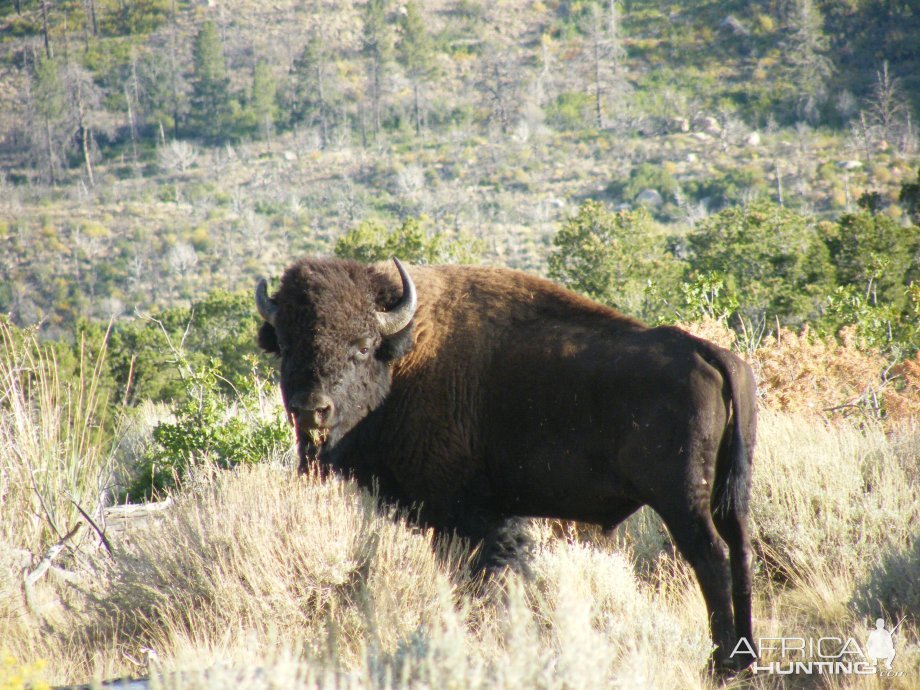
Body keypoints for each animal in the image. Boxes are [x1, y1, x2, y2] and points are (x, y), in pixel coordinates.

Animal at [256, 255, 756, 668]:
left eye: (361, 345)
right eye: (286, 345)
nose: (311, 409)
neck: (404, 356)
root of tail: (708, 351)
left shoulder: (463, 514)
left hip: (681, 500)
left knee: (710, 556)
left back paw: (722, 664)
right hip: (728, 497)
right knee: (740, 550)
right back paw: (746, 655)